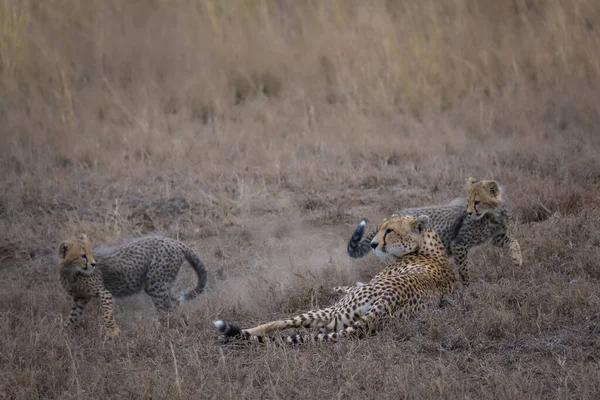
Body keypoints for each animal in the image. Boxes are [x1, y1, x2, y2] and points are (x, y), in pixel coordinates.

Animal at [59, 233, 209, 336]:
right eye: (83, 255)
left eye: (91, 253)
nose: (93, 264)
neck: (72, 272)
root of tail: (173, 241)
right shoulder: (80, 298)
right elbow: (72, 318)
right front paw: (63, 334)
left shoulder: (104, 293)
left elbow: (107, 314)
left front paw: (113, 332)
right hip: (161, 284)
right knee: (175, 302)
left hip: (155, 284)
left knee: (166, 308)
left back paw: (162, 330)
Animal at [216, 214, 454, 346]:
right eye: (379, 229)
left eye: (390, 231)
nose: (373, 245)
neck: (428, 246)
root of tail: (390, 298)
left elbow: (347, 285)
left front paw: (330, 287)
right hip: (343, 320)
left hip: (333, 311)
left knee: (280, 323)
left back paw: (237, 334)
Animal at [344, 177, 524, 282]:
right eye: (468, 201)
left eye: (477, 202)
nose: (469, 212)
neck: (491, 214)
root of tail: (394, 214)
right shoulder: (458, 244)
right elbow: (464, 269)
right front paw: (467, 287)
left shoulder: (496, 237)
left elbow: (514, 241)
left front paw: (517, 259)